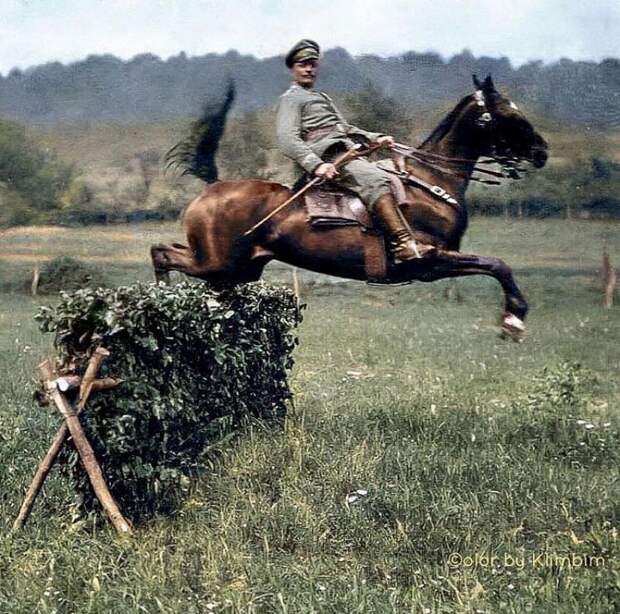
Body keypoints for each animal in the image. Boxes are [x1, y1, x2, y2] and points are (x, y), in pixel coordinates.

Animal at [151, 76, 548, 342]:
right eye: (507, 114)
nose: (541, 152)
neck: (431, 180)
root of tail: (213, 187)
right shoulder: (433, 261)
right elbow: (497, 265)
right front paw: (514, 320)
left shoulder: (440, 262)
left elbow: (494, 266)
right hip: (217, 263)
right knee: (161, 253)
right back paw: (161, 296)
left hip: (237, 271)